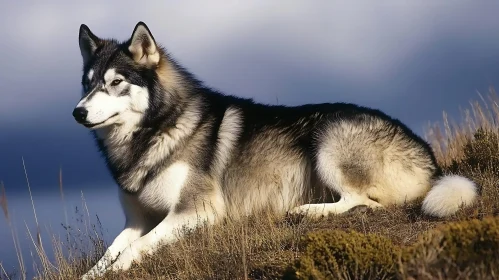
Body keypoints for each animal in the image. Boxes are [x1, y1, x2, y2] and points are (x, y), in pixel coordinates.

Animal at [72, 21, 478, 278]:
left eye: (116, 83)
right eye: (87, 85)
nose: (78, 112)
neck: (156, 131)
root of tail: (430, 159)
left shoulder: (196, 211)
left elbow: (134, 250)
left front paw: (121, 268)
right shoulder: (136, 220)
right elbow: (107, 255)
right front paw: (92, 274)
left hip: (328, 137)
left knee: (365, 201)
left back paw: (308, 212)